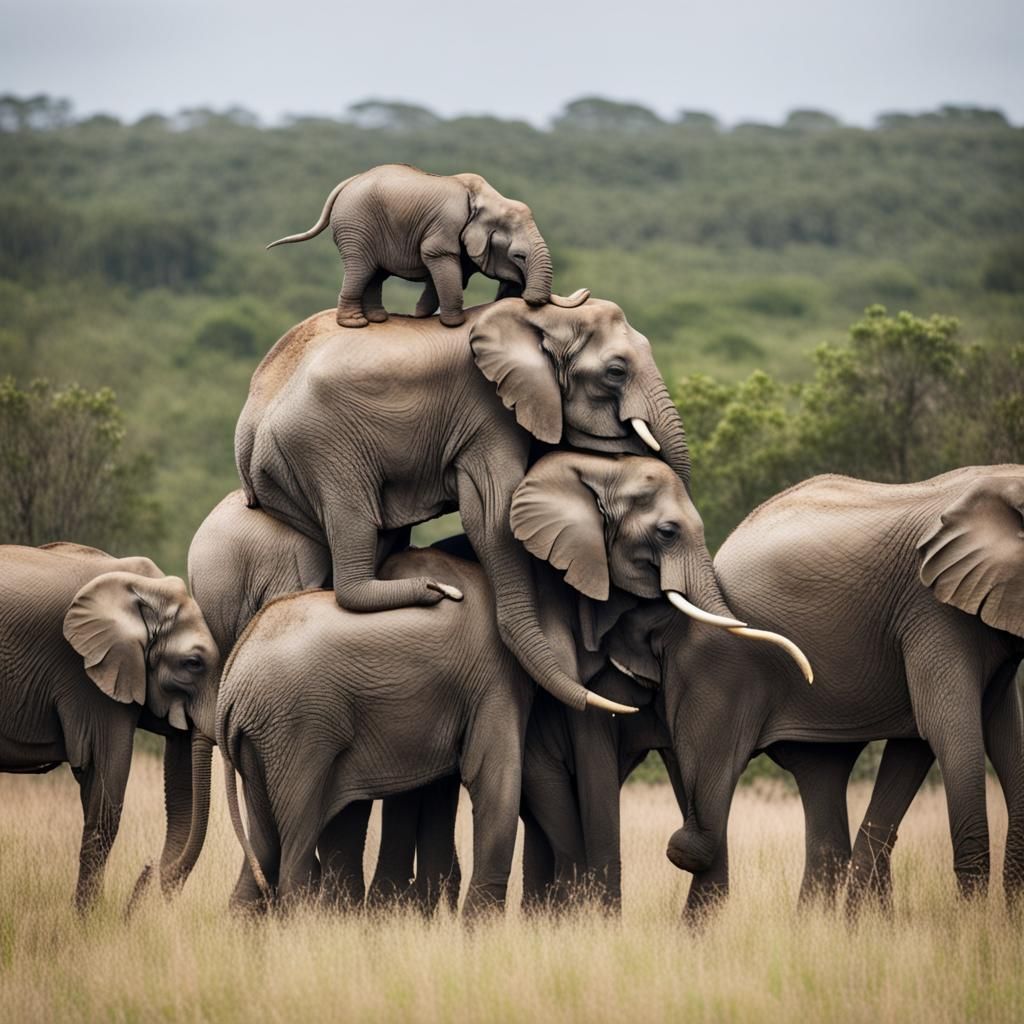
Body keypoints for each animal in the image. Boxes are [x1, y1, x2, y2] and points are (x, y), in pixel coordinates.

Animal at [0, 542, 220, 908]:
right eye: (193, 663)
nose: (146, 870)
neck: (145, 589)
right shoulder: (86, 677)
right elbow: (107, 796)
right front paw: (89, 917)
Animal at [234, 292, 696, 717]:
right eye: (616, 372)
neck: (542, 317)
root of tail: (249, 422)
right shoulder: (488, 411)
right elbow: (492, 513)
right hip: (324, 452)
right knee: (355, 528)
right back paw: (432, 590)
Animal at [266, 164, 553, 328]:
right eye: (518, 256)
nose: (529, 298)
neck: (489, 199)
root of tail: (348, 182)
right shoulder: (445, 225)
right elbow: (439, 258)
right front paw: (454, 324)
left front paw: (421, 315)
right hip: (356, 224)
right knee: (362, 267)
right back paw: (355, 323)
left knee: (375, 272)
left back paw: (378, 319)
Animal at [583, 467, 1024, 907]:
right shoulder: (933, 608)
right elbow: (949, 728)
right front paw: (974, 922)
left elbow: (1003, 734)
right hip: (724, 666)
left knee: (824, 774)